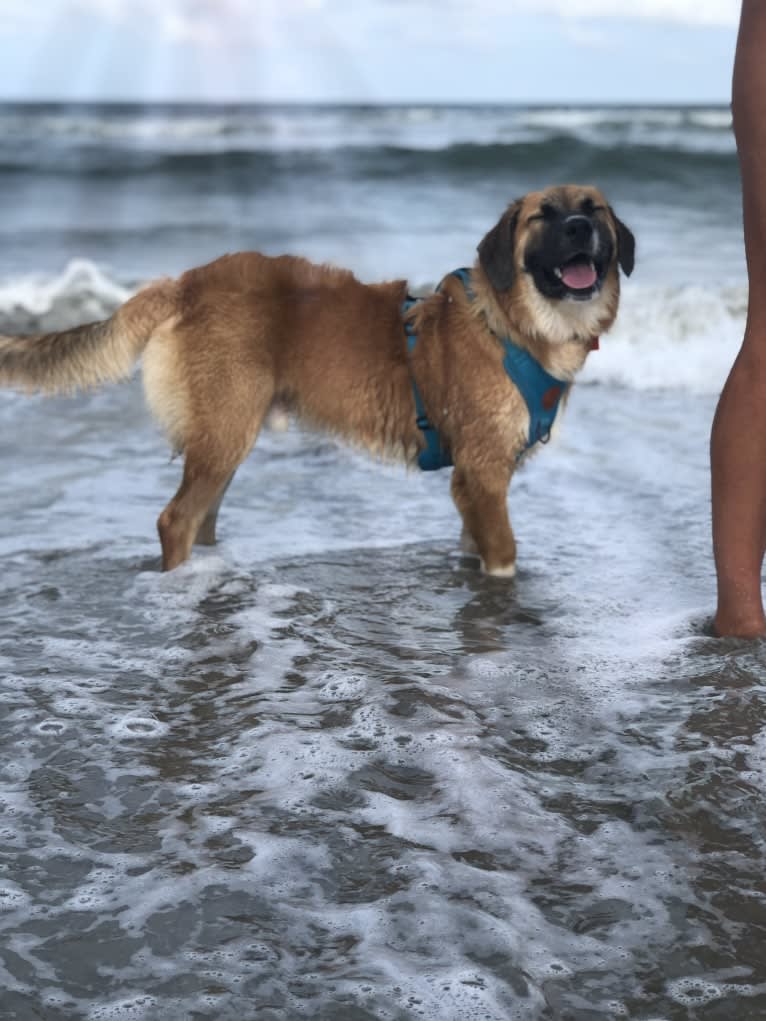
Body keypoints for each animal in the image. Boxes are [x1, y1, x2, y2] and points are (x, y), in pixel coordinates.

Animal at [0, 183, 637, 575]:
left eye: (593, 210)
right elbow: (503, 557)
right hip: (226, 433)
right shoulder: (483, 475)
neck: (511, 324)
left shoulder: (475, 486)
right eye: (542, 216)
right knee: (174, 519)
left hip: (223, 440)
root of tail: (186, 282)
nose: (578, 228)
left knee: (200, 519)